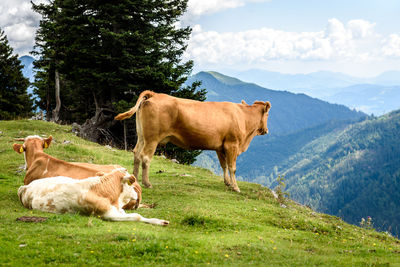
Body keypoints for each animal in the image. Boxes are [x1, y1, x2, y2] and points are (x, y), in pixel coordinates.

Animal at [18, 169, 169, 225]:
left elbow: (139, 215)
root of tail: (26, 186)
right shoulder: (108, 215)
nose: (137, 196)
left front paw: (160, 221)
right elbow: (136, 217)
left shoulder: (119, 210)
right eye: (132, 184)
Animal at [115, 90, 272, 193]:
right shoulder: (232, 144)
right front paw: (236, 187)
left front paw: (227, 182)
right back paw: (147, 183)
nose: (266, 130)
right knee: (145, 157)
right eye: (268, 115)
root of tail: (155, 94)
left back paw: (135, 180)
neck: (243, 118)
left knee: (136, 153)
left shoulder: (220, 147)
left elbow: (224, 166)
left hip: (142, 135)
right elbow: (232, 167)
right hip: (152, 138)